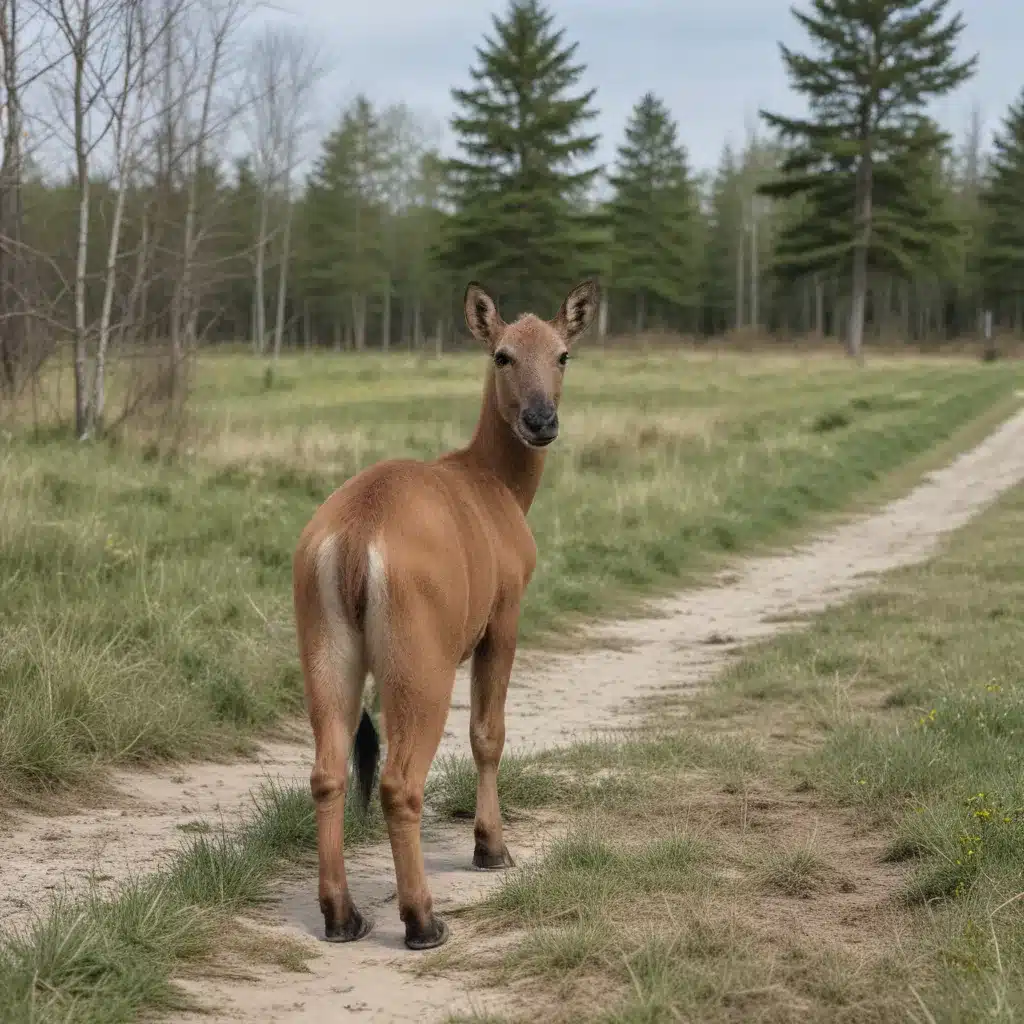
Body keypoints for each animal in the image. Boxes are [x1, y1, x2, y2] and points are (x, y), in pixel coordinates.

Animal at [290, 276, 598, 946]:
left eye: (563, 354)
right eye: (502, 354)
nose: (541, 420)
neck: (498, 486)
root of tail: (355, 539)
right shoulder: (505, 611)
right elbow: (488, 733)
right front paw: (491, 847)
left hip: (321, 639)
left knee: (327, 771)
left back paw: (342, 914)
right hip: (420, 655)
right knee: (400, 782)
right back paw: (422, 920)